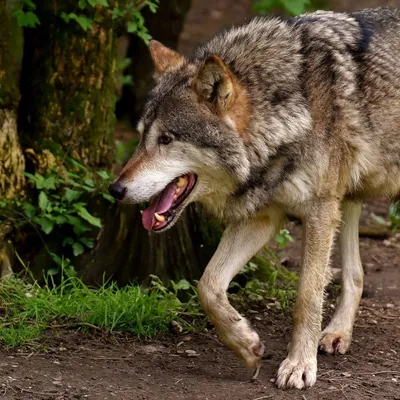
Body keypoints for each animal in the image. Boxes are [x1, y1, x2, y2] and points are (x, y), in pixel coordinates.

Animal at [108, 7, 400, 390]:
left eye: (167, 139)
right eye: (142, 137)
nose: (115, 189)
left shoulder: (319, 212)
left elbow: (306, 297)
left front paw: (299, 365)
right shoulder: (264, 216)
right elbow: (208, 285)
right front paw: (245, 344)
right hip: (347, 198)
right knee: (355, 273)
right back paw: (337, 333)